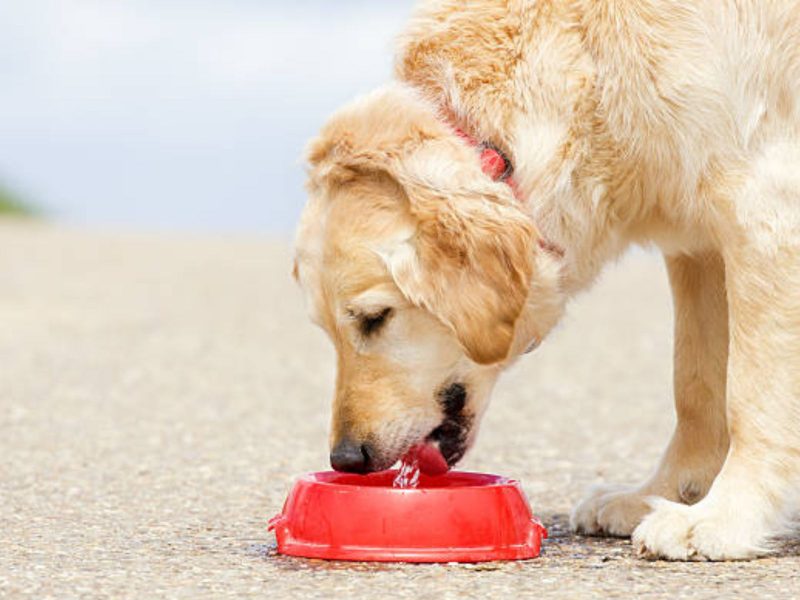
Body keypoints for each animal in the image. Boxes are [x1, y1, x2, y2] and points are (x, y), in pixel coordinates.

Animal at [294, 1, 800, 564]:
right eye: (327, 330)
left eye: (374, 318)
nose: (346, 459)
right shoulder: (696, 245)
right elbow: (695, 386)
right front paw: (661, 496)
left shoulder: (765, 209)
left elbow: (750, 397)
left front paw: (725, 517)